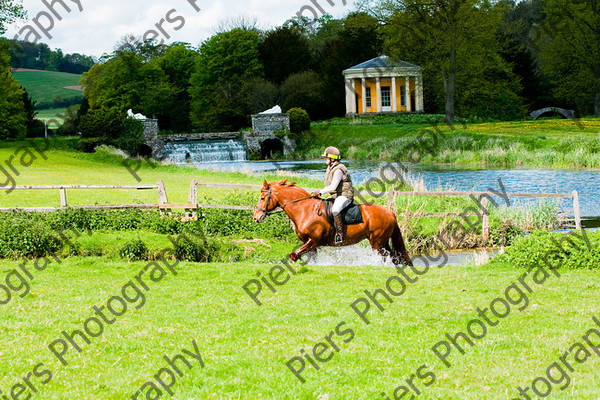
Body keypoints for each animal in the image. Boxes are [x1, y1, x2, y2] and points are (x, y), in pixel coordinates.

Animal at [252, 179, 412, 266]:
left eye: (262, 198)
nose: (256, 217)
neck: (304, 209)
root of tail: (390, 213)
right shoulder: (309, 243)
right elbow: (311, 258)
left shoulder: (314, 240)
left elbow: (295, 254)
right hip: (382, 241)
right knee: (394, 256)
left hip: (377, 242)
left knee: (385, 256)